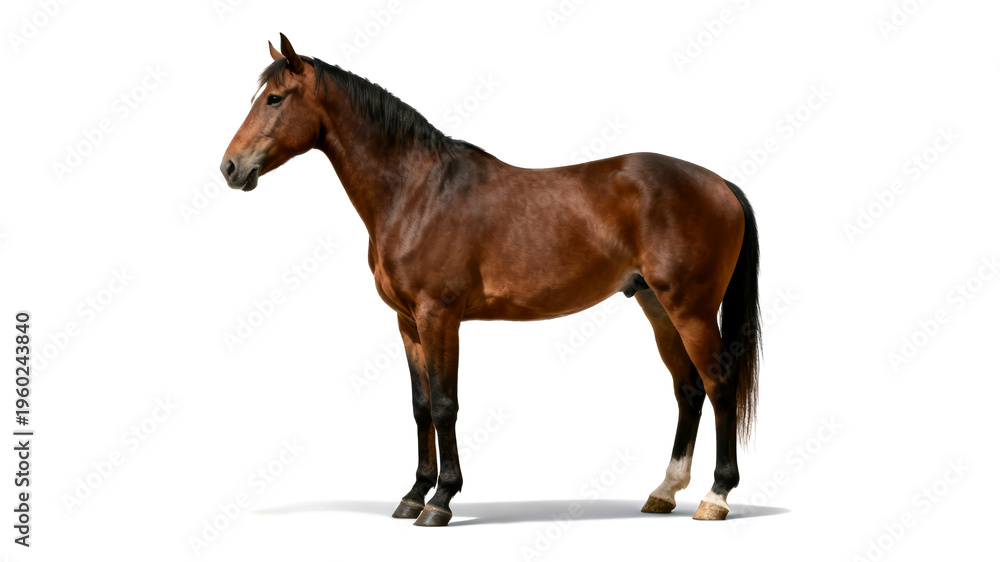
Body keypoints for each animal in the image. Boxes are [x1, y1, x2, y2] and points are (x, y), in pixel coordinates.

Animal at [221, 34, 761, 527]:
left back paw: (716, 496)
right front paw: (413, 495)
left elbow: (445, 405)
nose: (230, 167)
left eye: (274, 98)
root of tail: (720, 183)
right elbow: (420, 406)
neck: (416, 192)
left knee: (718, 383)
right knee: (688, 389)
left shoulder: (439, 316)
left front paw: (441, 501)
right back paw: (664, 492)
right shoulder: (407, 323)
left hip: (690, 309)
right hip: (657, 306)